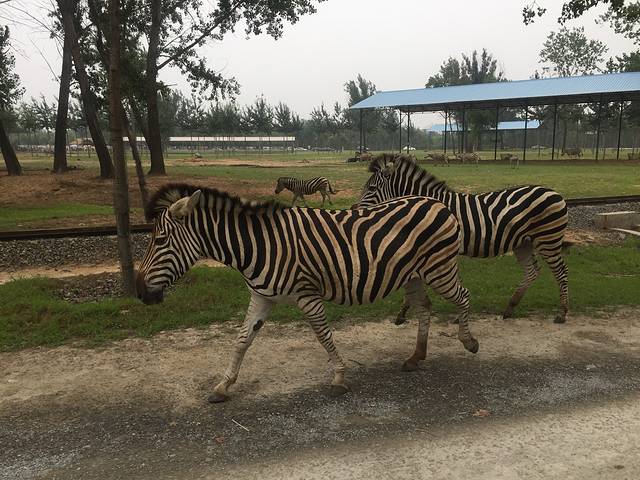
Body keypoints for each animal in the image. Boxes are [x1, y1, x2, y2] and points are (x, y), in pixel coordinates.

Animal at [137, 183, 479, 402]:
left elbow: (323, 335)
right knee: (425, 307)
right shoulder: (261, 296)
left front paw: (339, 377)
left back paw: (469, 342)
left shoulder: (307, 294)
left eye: (161, 240)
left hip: (439, 268)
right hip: (414, 275)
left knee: (463, 296)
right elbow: (242, 339)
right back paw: (416, 357)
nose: (140, 294)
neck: (258, 246)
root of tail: (438, 203)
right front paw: (224, 385)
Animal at [355, 153, 570, 324]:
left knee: (561, 272)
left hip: (548, 239)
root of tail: (555, 192)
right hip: (523, 242)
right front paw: (404, 313)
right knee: (531, 271)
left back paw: (562, 313)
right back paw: (510, 308)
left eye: (371, 188)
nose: (355, 209)